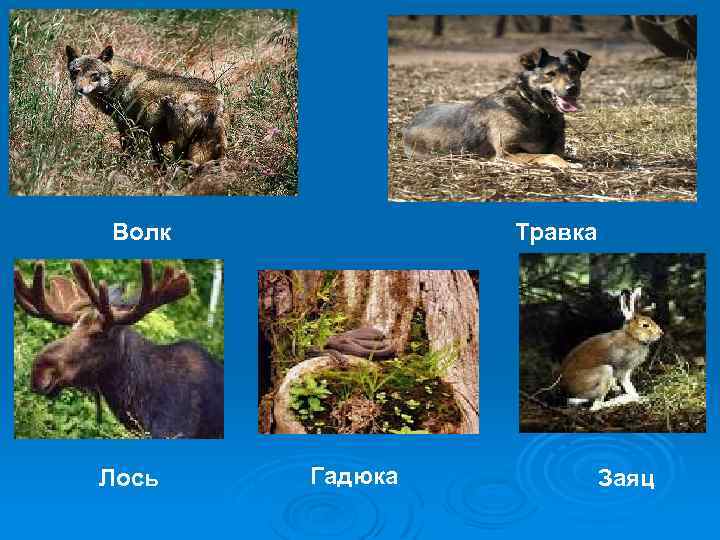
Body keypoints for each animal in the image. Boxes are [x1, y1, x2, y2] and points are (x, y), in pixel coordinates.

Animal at [65, 44, 227, 165]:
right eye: (75, 73)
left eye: (94, 76)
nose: (79, 90)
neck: (118, 82)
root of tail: (210, 103)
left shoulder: (127, 128)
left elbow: (128, 152)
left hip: (174, 143)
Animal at [402, 48, 591, 169]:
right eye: (550, 74)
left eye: (574, 72)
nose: (572, 88)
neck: (533, 107)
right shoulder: (507, 153)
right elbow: (551, 156)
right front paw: (568, 165)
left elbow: (565, 155)